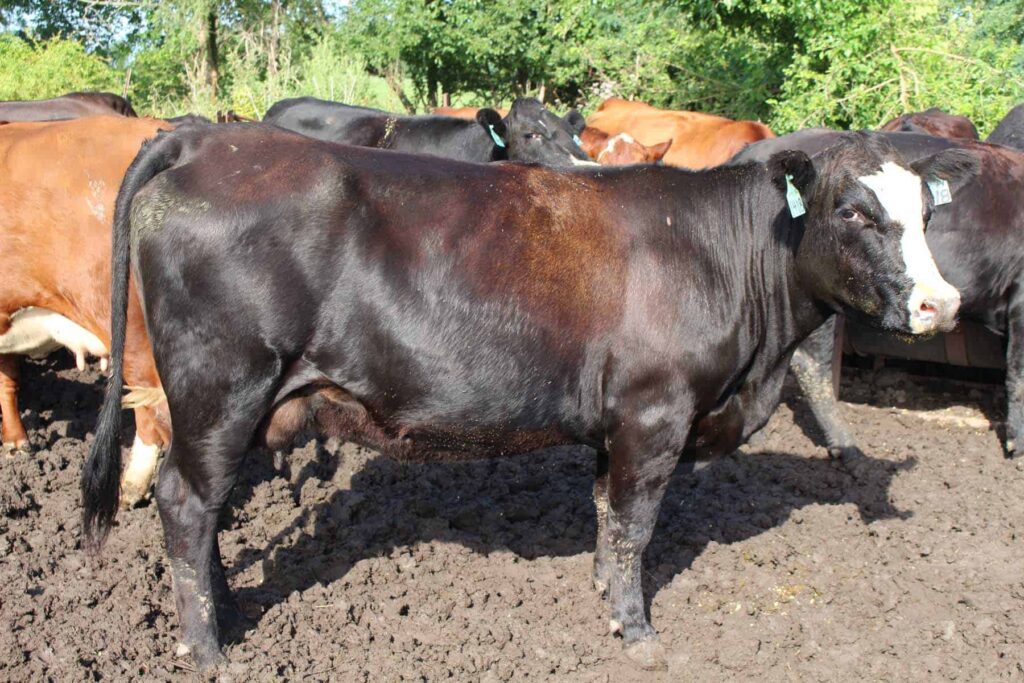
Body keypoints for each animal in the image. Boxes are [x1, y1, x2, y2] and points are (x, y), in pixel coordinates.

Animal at [83, 125, 970, 671]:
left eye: (926, 213)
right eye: (853, 211)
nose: (942, 303)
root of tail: (208, 136)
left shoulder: (616, 425)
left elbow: (607, 518)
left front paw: (605, 597)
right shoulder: (654, 413)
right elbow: (637, 526)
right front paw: (637, 632)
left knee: (203, 510)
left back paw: (224, 609)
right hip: (220, 387)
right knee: (185, 501)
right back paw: (209, 648)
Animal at [733, 127, 1024, 458]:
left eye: (928, 213)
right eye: (851, 213)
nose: (942, 304)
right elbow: (1019, 374)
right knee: (810, 364)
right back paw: (844, 444)